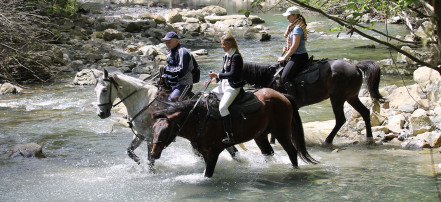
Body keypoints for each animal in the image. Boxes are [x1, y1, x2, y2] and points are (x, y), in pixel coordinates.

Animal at [150, 88, 316, 177]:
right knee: (268, 153)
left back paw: (294, 171)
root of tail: (282, 96)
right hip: (261, 135)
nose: (153, 154)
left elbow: (208, 174)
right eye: (153, 129)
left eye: (166, 130)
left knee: (292, 152)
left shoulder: (213, 153)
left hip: (281, 132)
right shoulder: (204, 153)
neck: (200, 119)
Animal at [242, 59, 384, 144]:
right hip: (351, 97)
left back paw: (328, 140)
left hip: (337, 98)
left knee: (340, 119)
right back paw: (369, 137)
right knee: (365, 112)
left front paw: (273, 141)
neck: (270, 78)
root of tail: (355, 66)